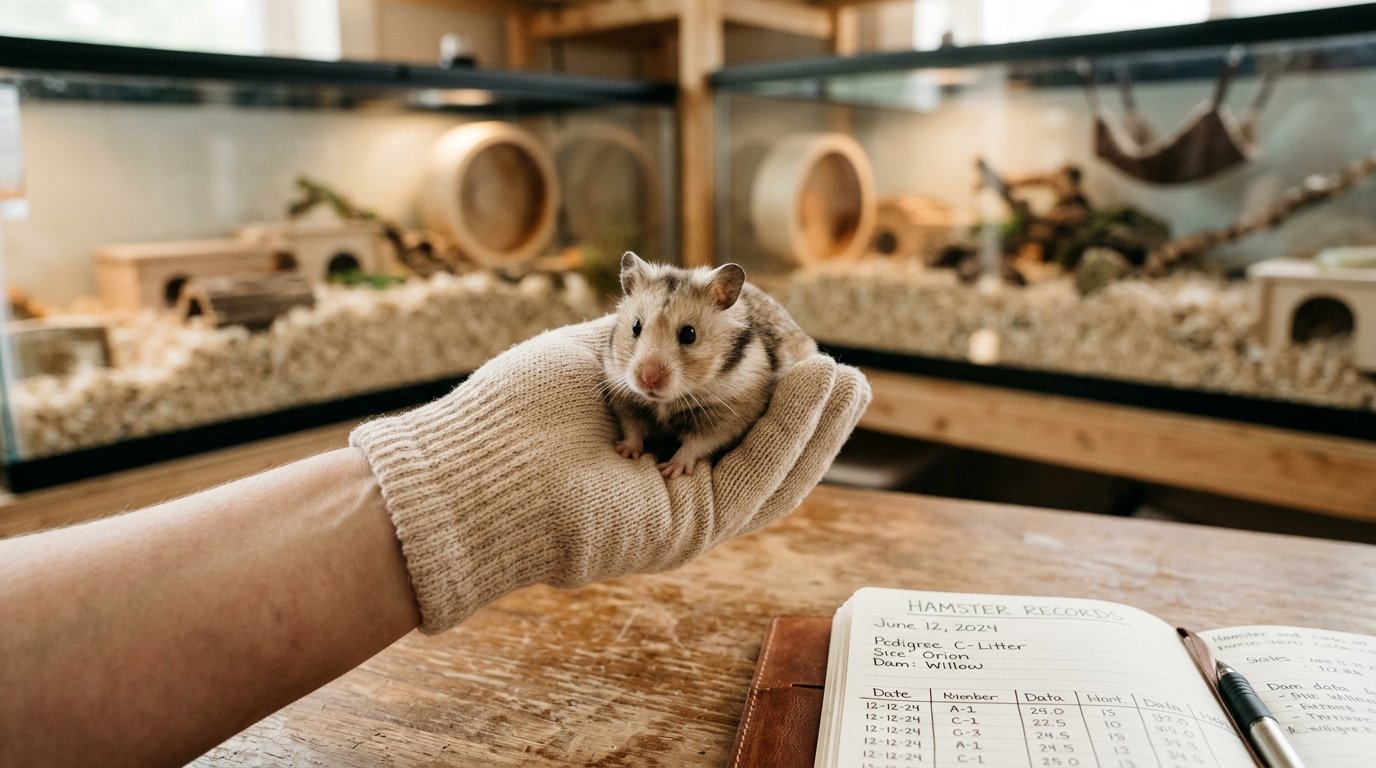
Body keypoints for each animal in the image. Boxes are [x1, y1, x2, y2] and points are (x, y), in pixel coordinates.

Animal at [603, 251, 818, 479]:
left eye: (689, 334)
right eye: (636, 327)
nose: (648, 379)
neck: (665, 402)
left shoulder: (729, 419)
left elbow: (696, 444)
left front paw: (671, 470)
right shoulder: (624, 400)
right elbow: (633, 427)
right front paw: (625, 452)